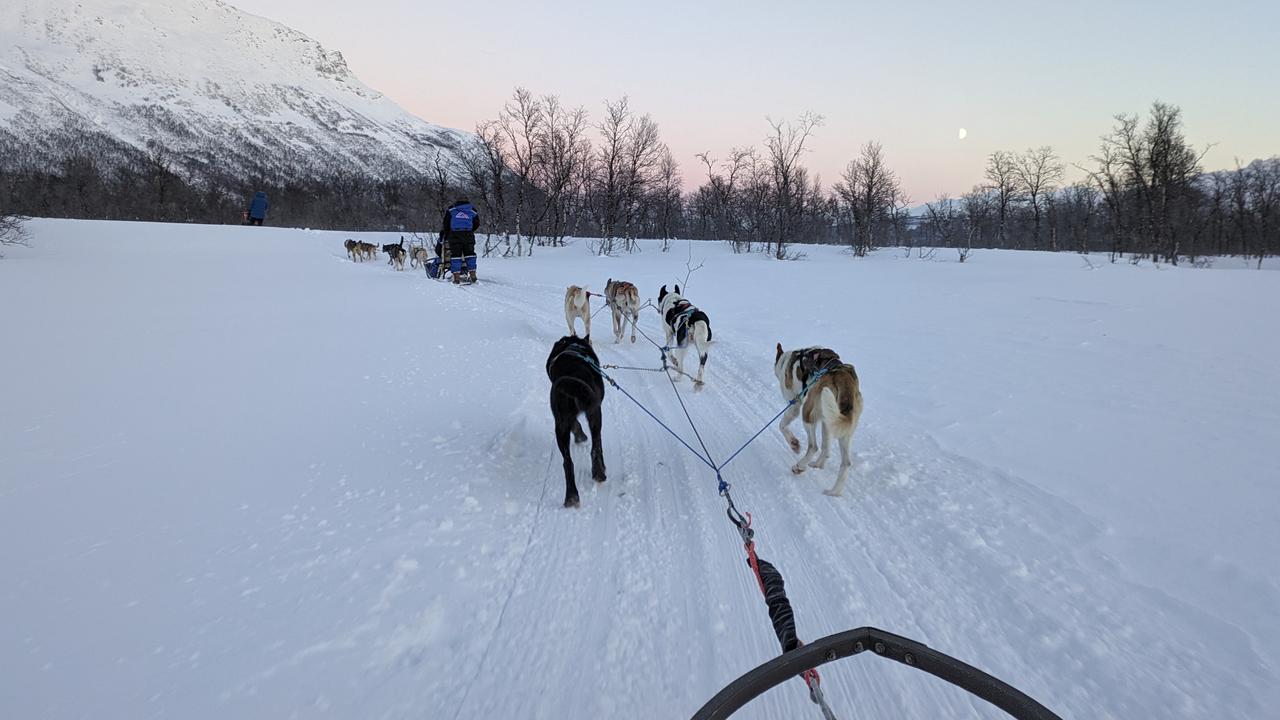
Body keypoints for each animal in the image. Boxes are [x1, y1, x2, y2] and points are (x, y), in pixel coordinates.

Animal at [773, 340, 865, 491]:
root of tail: (842, 377)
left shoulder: (794, 405)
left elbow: (782, 426)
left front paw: (794, 444)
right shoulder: (826, 421)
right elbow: (826, 447)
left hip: (808, 413)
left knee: (814, 446)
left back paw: (799, 466)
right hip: (841, 427)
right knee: (844, 461)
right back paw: (832, 490)